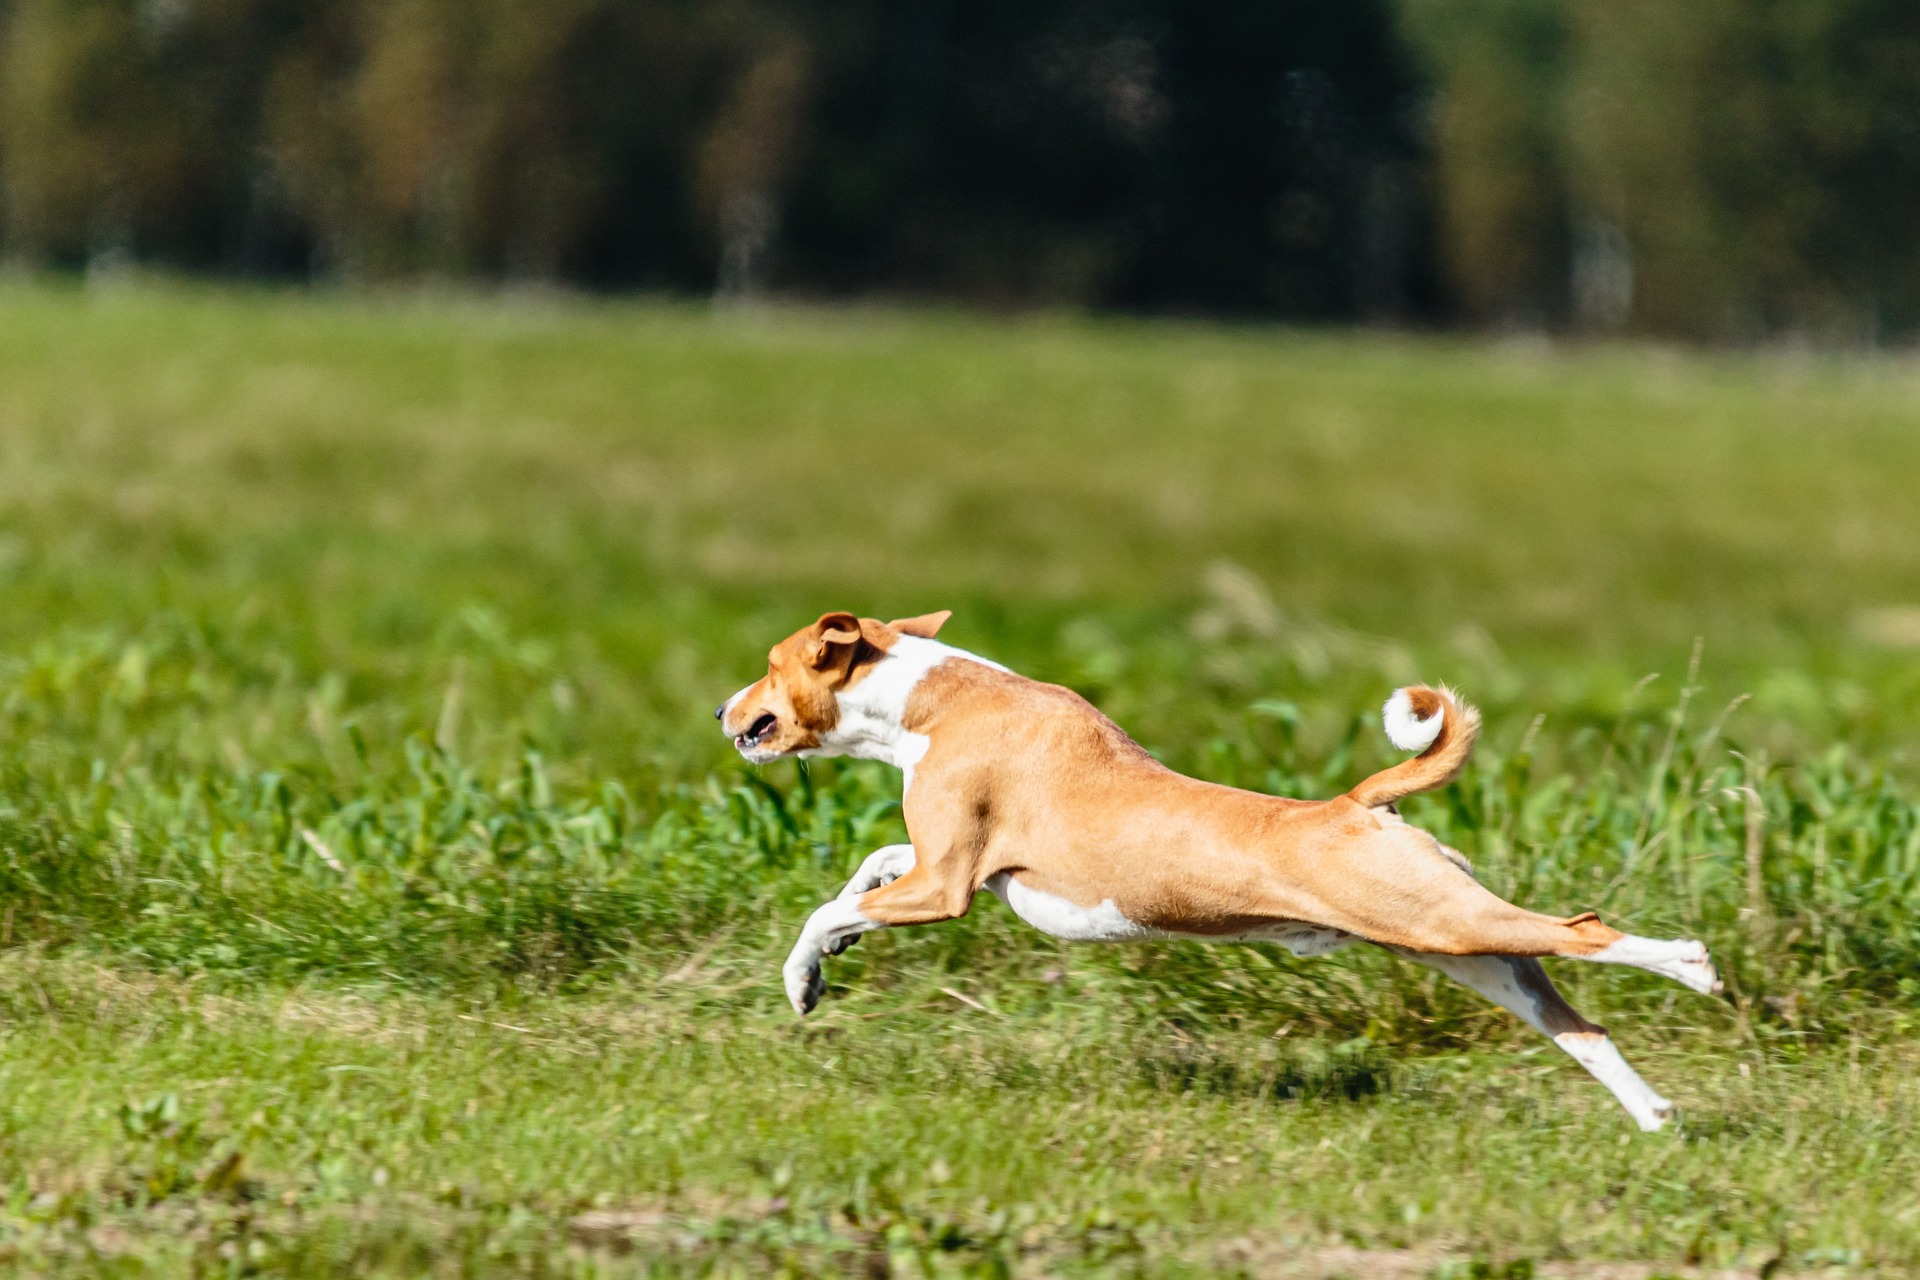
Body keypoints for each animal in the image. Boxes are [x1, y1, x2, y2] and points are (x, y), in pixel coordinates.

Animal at [721, 614, 1728, 1128]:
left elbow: (823, 912)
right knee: (1580, 1027)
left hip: (1451, 926)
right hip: (1458, 947)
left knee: (1590, 934)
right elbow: (867, 870)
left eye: (769, 665)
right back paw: (1654, 1116)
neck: (931, 700)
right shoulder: (940, 865)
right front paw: (840, 943)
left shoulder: (947, 888)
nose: (730, 709)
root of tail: (1355, 805)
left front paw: (805, 978)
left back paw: (1693, 967)